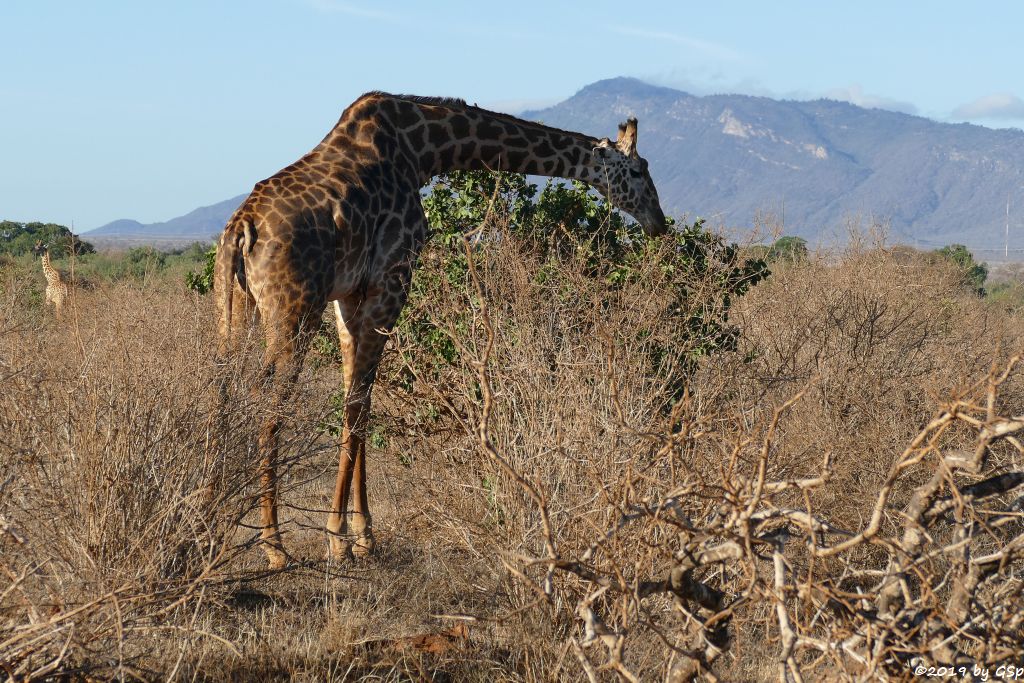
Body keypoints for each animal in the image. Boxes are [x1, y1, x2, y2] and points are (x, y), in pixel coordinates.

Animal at [211, 92, 667, 573]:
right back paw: (274, 544)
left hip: (234, 307)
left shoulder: (348, 296)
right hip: (294, 311)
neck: (424, 150)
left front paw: (362, 535)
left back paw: (207, 520)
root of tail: (241, 229)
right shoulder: (391, 280)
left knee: (220, 391)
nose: (659, 221)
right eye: (639, 170)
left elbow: (360, 402)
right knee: (265, 402)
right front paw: (339, 538)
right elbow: (357, 406)